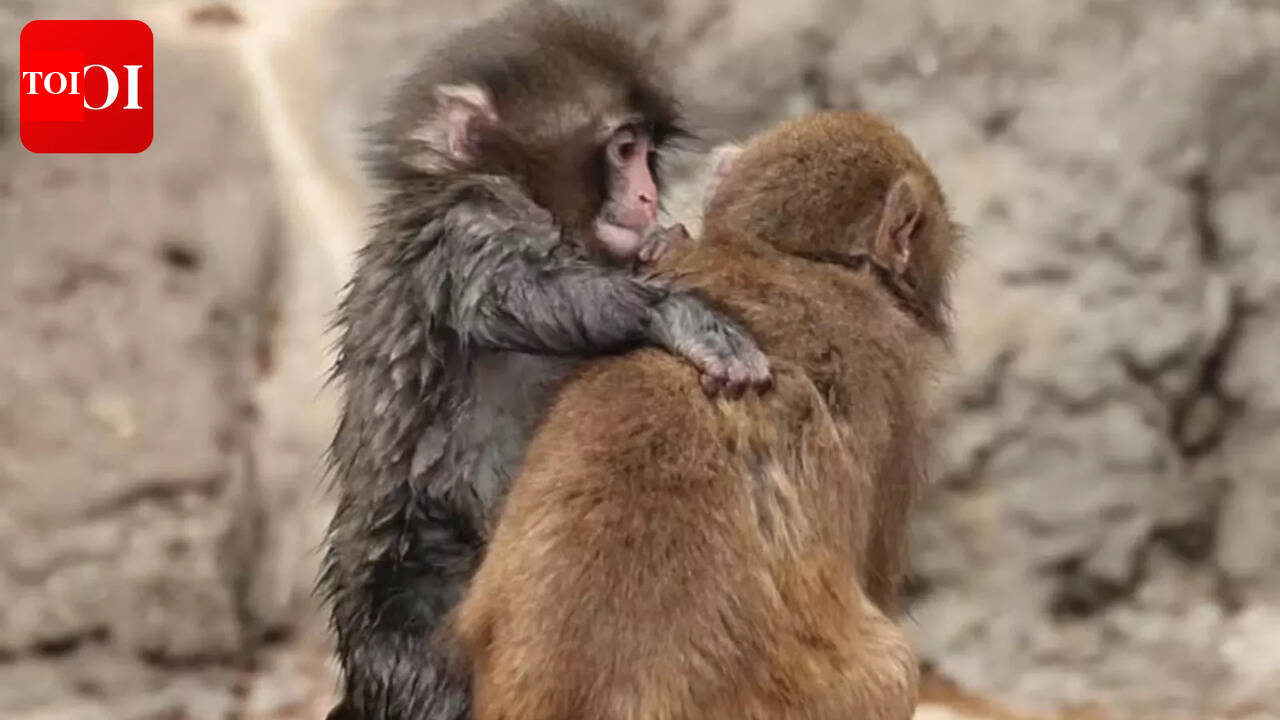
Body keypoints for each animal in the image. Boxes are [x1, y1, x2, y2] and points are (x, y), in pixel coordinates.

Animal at [318, 4, 772, 720]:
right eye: (622, 149)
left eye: (646, 151)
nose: (647, 196)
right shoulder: (468, 223)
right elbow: (514, 290)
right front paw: (675, 315)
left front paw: (663, 245)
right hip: (406, 607)